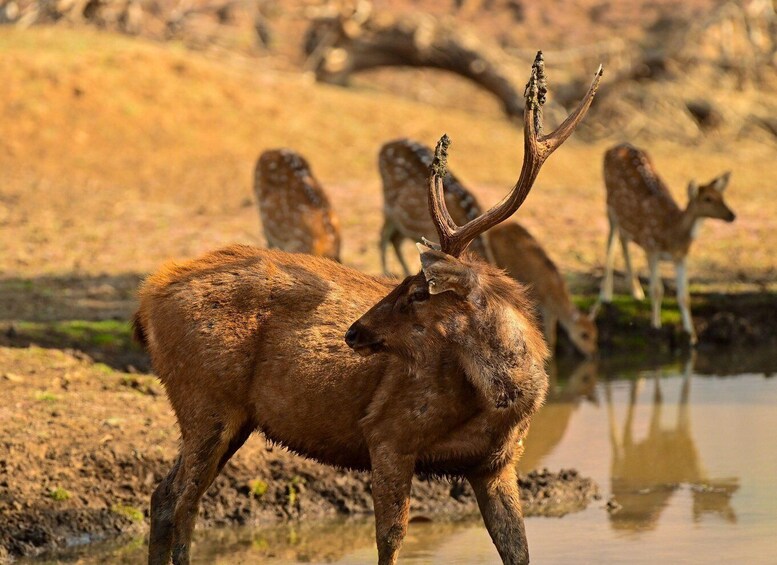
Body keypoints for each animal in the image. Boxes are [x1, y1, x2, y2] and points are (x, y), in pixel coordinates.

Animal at [378, 138, 494, 276]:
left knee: (395, 239)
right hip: (388, 203)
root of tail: (384, 146)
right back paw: (386, 272)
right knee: (384, 236)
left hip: (401, 219)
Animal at [489, 222, 598, 357]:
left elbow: (552, 337)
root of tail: (494, 230)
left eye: (596, 335)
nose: (593, 353)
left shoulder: (550, 311)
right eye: (584, 334)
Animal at [599, 143, 735, 344]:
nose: (732, 215)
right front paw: (656, 326)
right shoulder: (651, 247)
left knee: (623, 237)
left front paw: (691, 335)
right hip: (609, 203)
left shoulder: (681, 257)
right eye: (708, 199)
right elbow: (657, 289)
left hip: (624, 215)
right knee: (612, 238)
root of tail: (617, 145)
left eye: (722, 196)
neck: (671, 234)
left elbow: (684, 296)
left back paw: (636, 292)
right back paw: (606, 294)